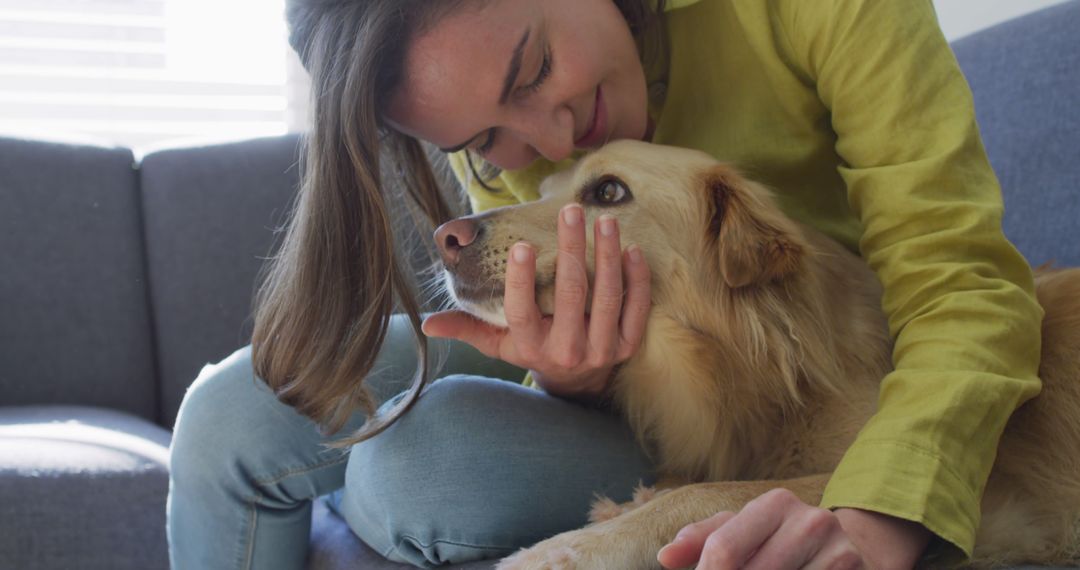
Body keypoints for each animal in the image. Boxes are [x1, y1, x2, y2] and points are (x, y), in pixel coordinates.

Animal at [429, 140, 1080, 565]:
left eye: (609, 191)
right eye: (543, 192)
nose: (445, 237)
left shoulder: (959, 497)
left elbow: (714, 493)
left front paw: (564, 548)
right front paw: (629, 503)